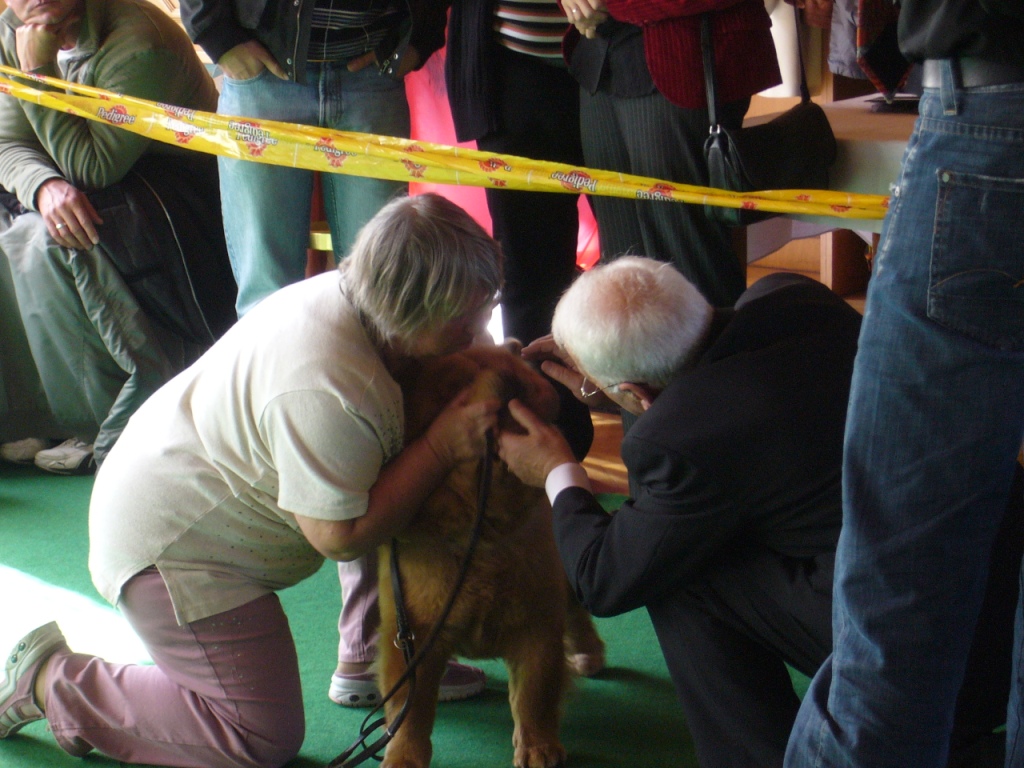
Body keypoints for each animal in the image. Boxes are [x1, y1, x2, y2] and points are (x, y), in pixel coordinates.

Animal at [377, 342, 606, 768]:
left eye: (511, 364)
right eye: (459, 384)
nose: (511, 373)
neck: (481, 530)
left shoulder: (538, 623)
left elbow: (535, 694)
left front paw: (538, 749)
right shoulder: (413, 635)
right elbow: (410, 710)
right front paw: (403, 758)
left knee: (577, 610)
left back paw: (588, 653)